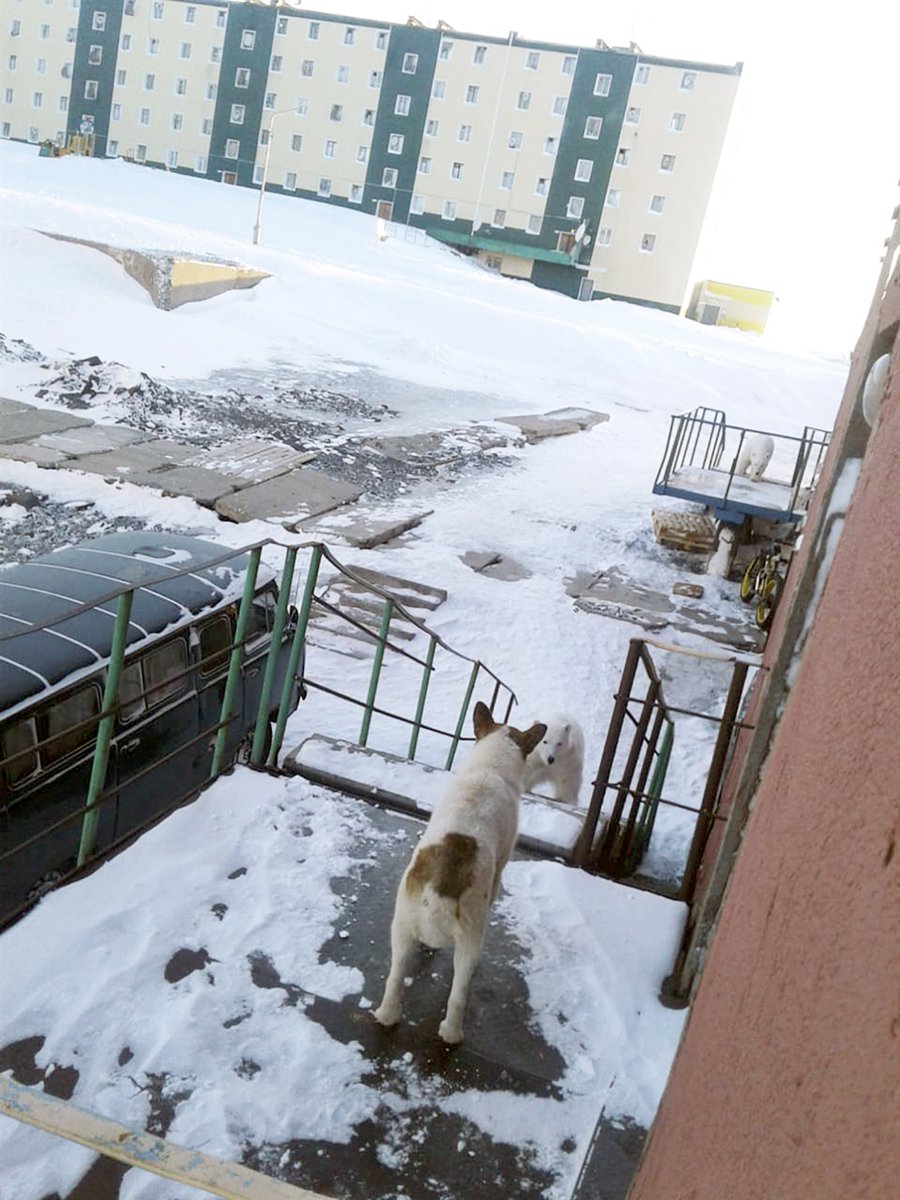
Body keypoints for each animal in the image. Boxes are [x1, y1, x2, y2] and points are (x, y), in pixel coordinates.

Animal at [372, 700, 547, 1046]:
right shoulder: (501, 866)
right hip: (469, 939)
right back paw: (452, 1034)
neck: (490, 768)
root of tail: (438, 889)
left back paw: (387, 1015)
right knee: (458, 994)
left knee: (395, 976)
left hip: (401, 927)